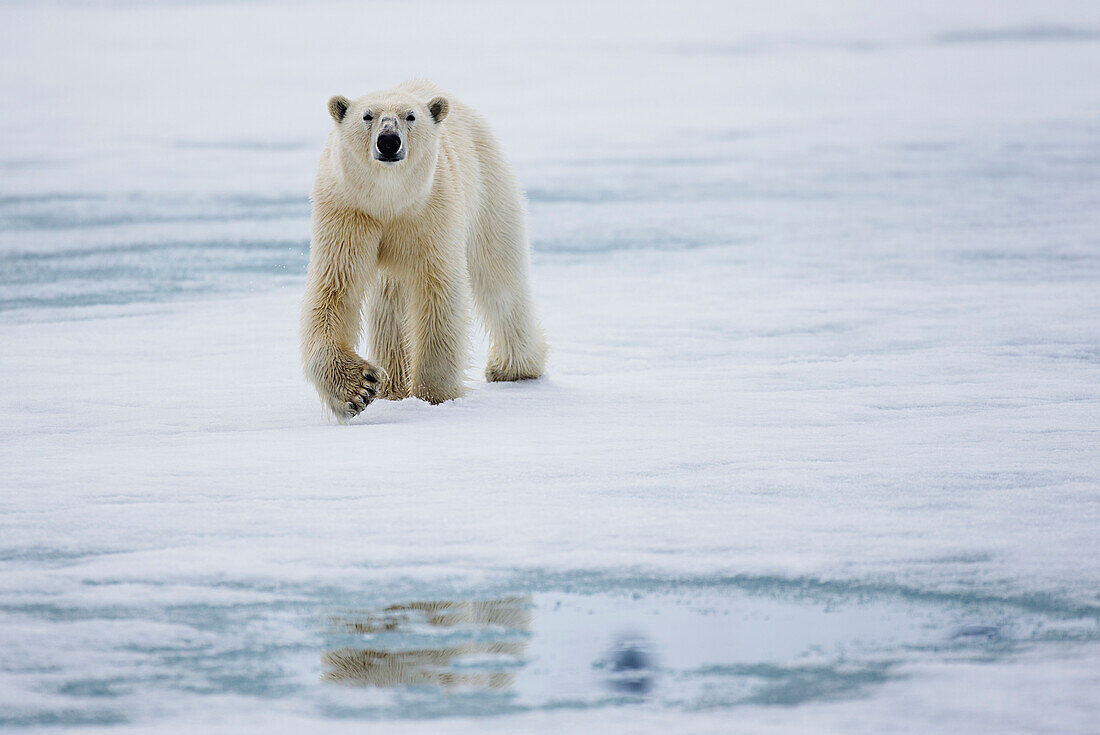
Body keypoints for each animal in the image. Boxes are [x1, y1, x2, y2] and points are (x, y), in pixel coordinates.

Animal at [301, 79, 545, 418]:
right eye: (367, 116)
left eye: (410, 116)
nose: (388, 141)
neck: (389, 202)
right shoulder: (348, 212)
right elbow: (335, 289)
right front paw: (359, 389)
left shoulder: (430, 210)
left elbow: (437, 290)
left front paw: (433, 395)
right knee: (389, 303)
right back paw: (393, 386)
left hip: (487, 186)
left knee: (500, 279)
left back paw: (513, 368)